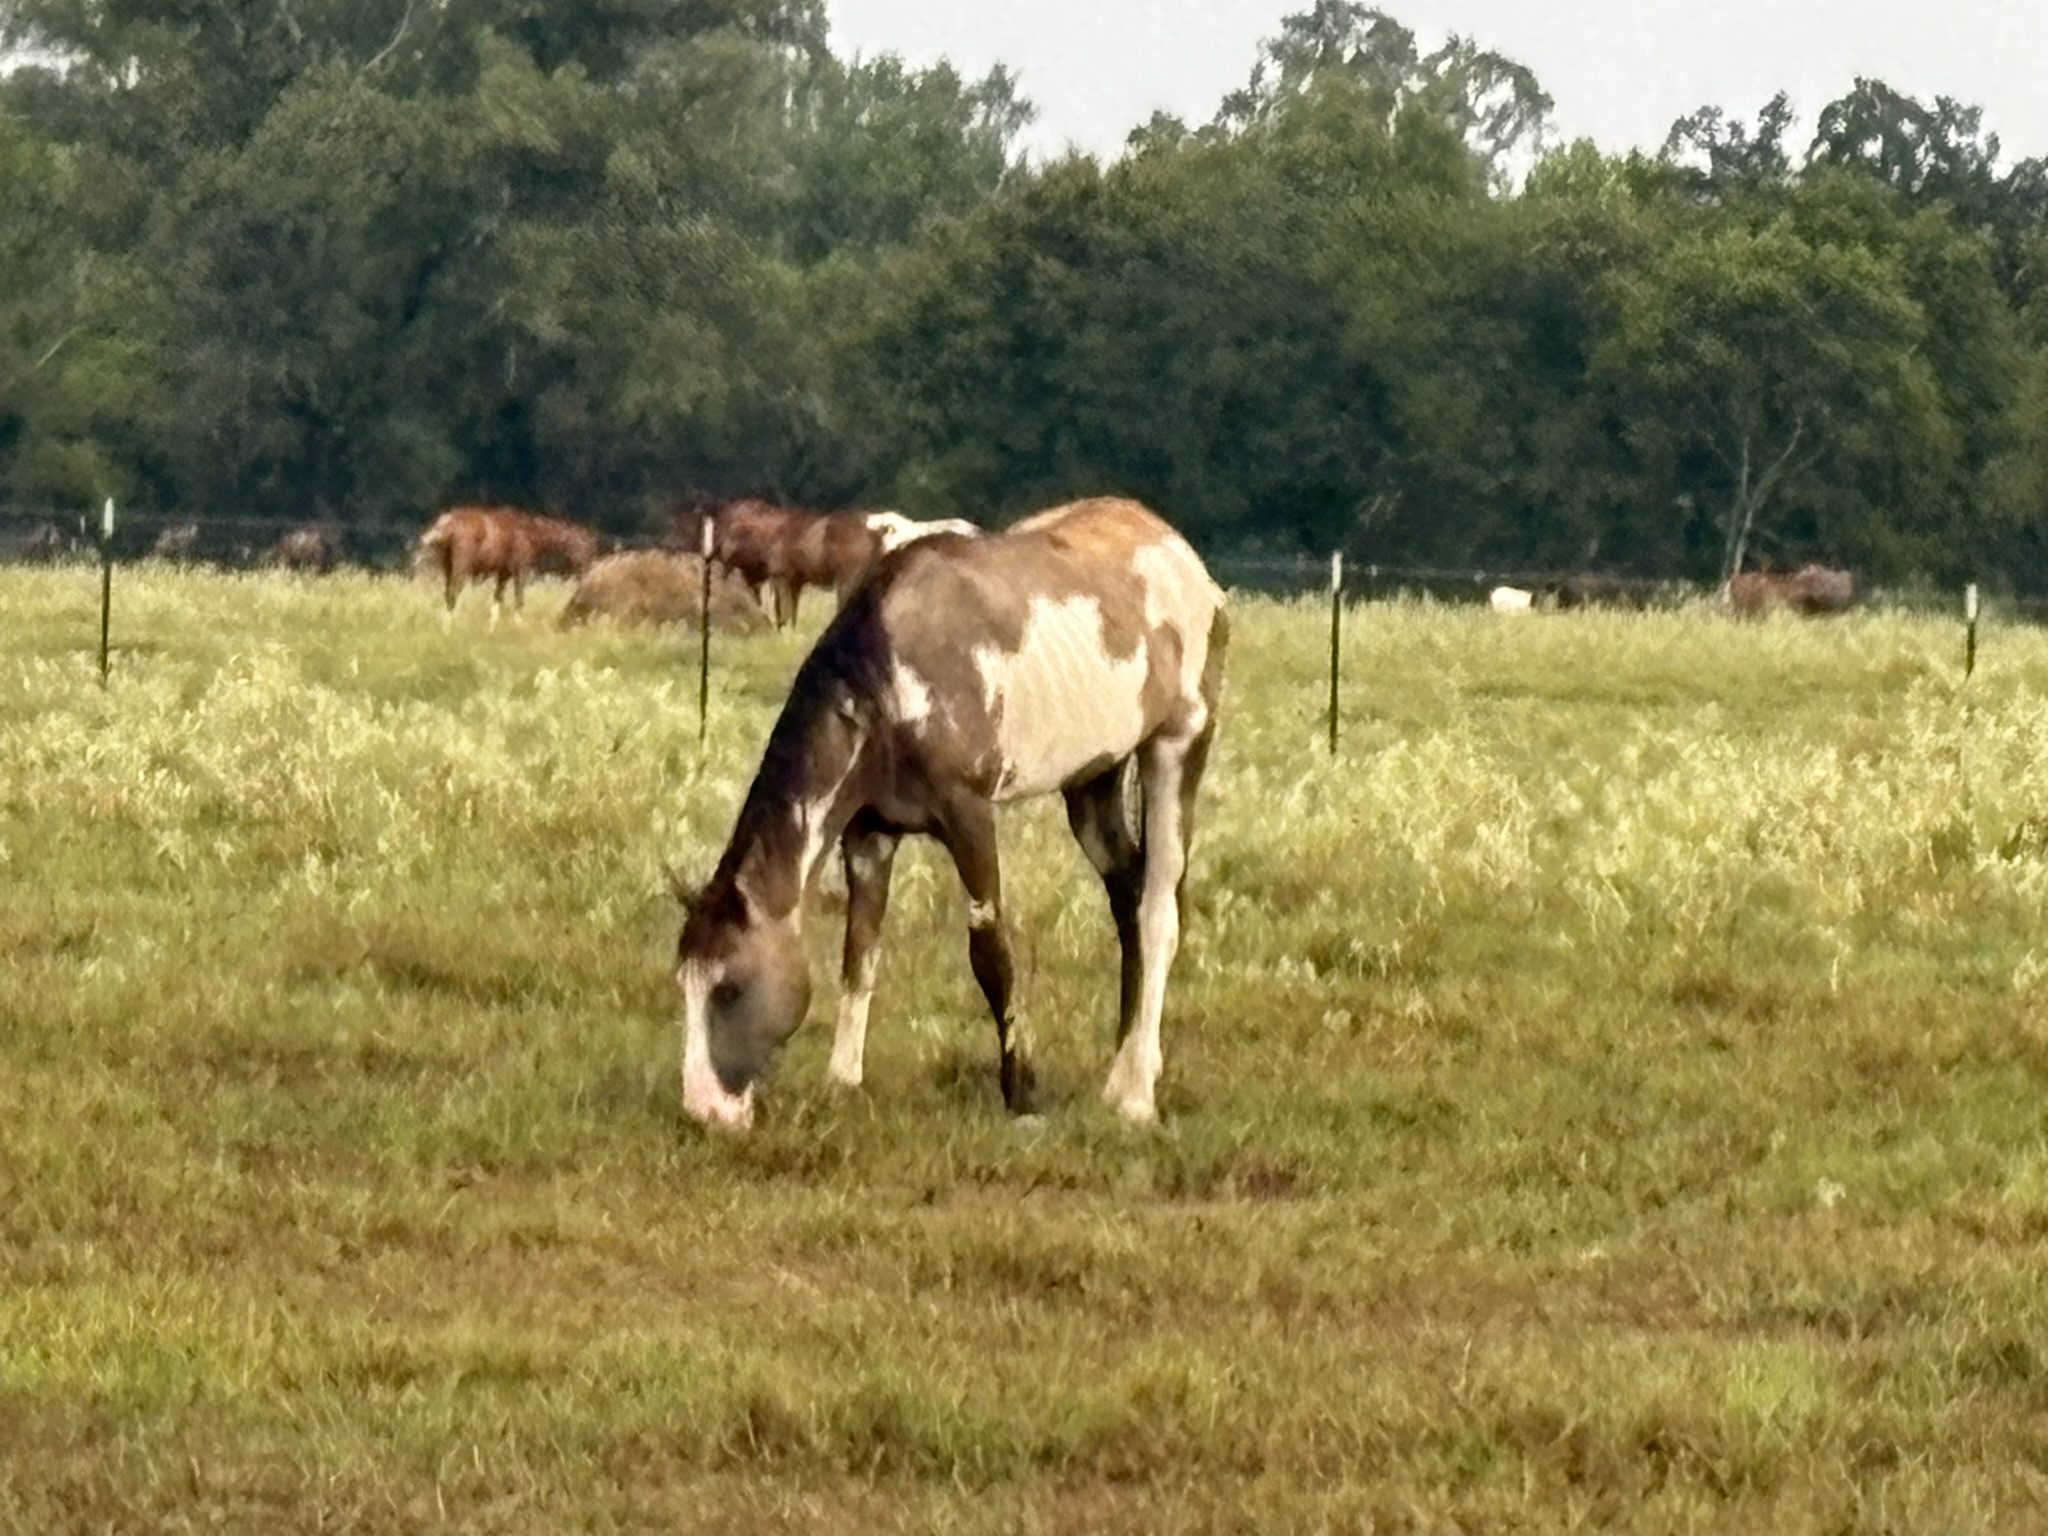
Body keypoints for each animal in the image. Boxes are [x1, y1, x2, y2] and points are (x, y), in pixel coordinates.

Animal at [416, 505, 599, 620]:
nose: (586, 570)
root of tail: (442, 527)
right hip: (461, 565)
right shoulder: (521, 568)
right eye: (582, 547)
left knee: (448, 595)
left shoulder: (503, 572)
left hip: (447, 565)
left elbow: (497, 601)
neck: (534, 535)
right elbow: (519, 600)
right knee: (453, 595)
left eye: (590, 547)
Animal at [673, 497, 1228, 1132]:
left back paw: (1136, 1095)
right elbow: (860, 950)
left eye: (730, 988)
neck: (884, 684)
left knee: (1158, 911)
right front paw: (843, 1079)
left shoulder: (968, 818)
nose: (703, 1109)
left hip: (1178, 747)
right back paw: (1125, 1065)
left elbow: (991, 955)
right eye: (684, 983)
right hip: (1093, 781)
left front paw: (1022, 1094)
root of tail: (1184, 557)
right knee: (1128, 900)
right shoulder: (868, 834)